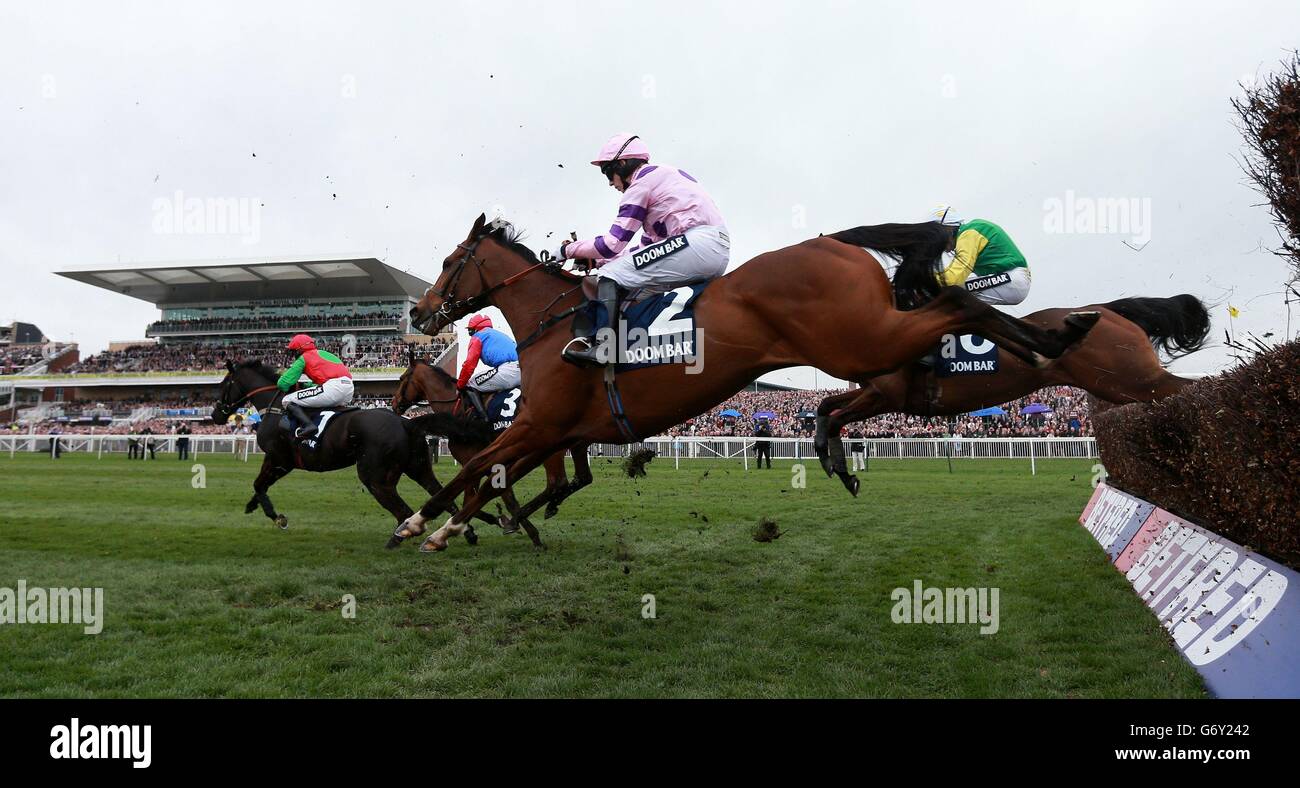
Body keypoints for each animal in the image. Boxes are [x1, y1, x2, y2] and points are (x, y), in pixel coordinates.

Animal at [210, 358, 488, 543]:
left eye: (224, 384)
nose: (215, 415)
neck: (276, 407)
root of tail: (406, 422)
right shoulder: (281, 461)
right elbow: (260, 485)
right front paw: (254, 506)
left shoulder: (279, 459)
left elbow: (259, 484)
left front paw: (276, 516)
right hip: (418, 467)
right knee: (441, 494)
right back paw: (467, 530)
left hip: (375, 476)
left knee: (404, 512)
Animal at [384, 356, 590, 553]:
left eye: (401, 378)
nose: (393, 403)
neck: (459, 410)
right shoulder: (493, 462)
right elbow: (502, 495)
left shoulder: (471, 459)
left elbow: (479, 498)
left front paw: (473, 530)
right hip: (574, 445)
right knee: (582, 477)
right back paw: (551, 506)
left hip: (550, 448)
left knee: (557, 483)